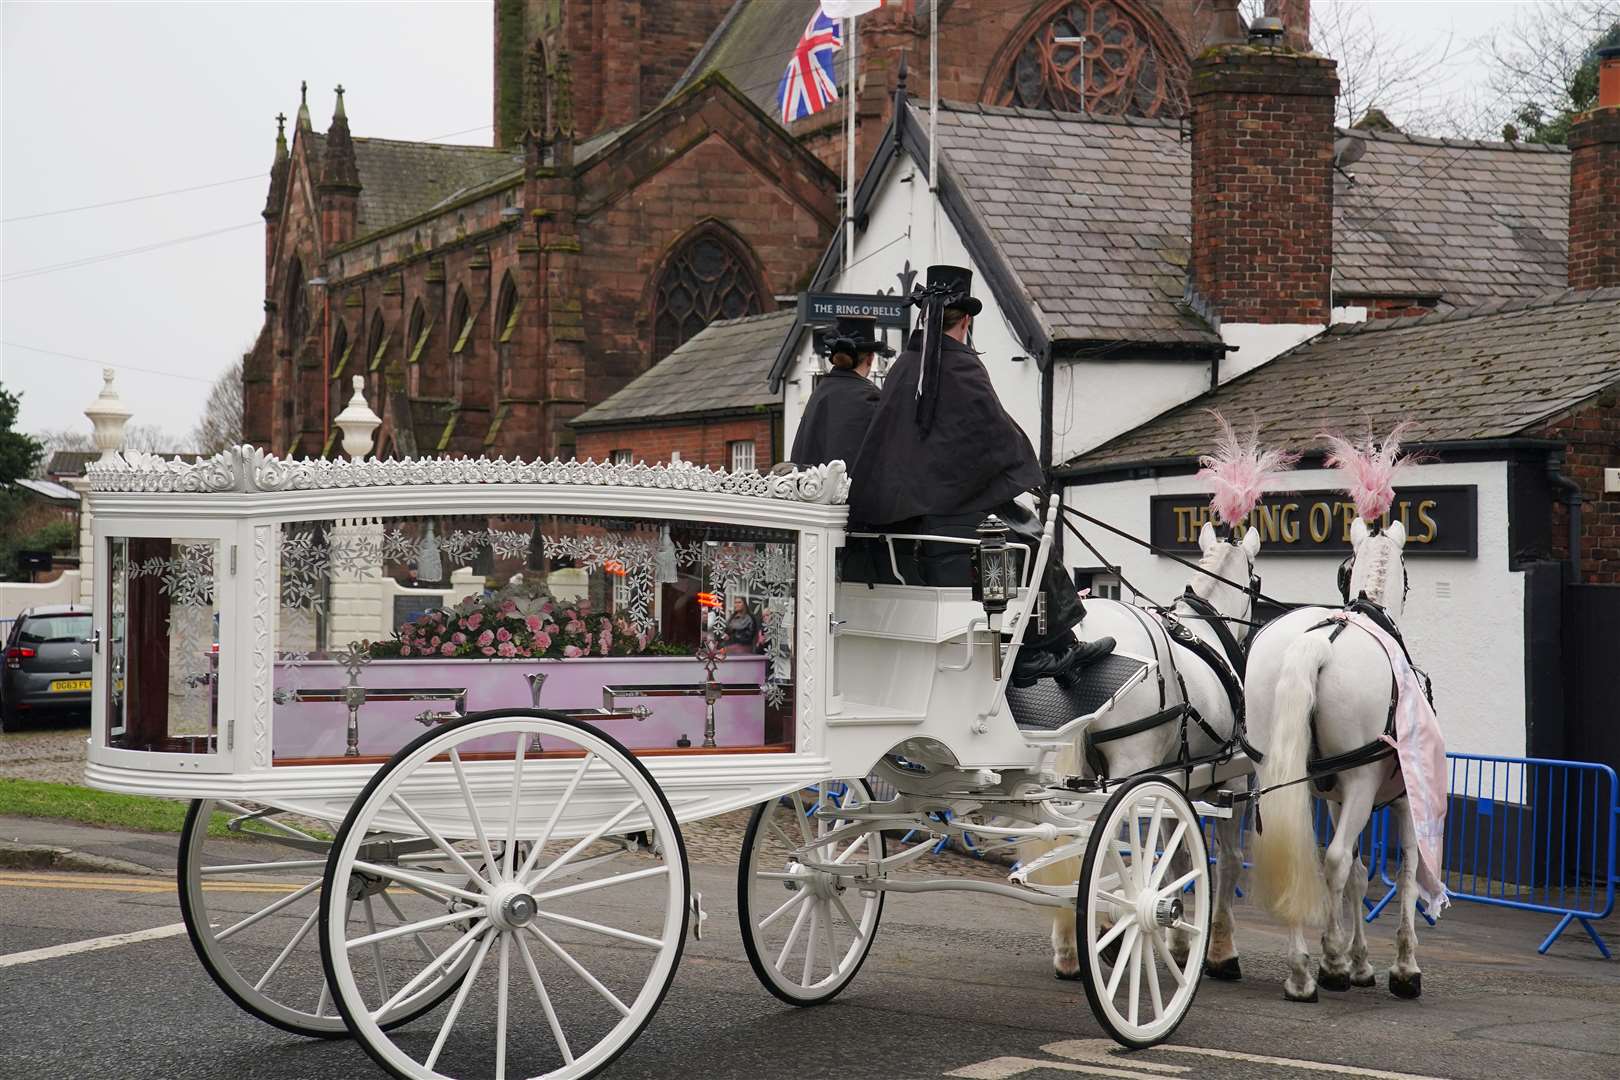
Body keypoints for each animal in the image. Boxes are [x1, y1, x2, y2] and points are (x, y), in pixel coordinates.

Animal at [1023, 521, 1263, 977]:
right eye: (1256, 581)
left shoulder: (1177, 779)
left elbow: (1179, 859)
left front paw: (1181, 942)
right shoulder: (1230, 777)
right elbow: (1227, 858)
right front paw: (1220, 950)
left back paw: (1070, 946)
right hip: (1127, 770)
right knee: (1104, 848)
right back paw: (1109, 931)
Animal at [1237, 518, 1419, 1003]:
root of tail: (1317, 641)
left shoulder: (1336, 798)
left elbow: (1359, 872)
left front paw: (1361, 964)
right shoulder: (1405, 799)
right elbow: (1407, 871)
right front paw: (1403, 968)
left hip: (1279, 773)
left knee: (1293, 851)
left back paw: (1301, 973)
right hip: (1360, 781)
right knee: (1333, 860)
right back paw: (1331, 962)